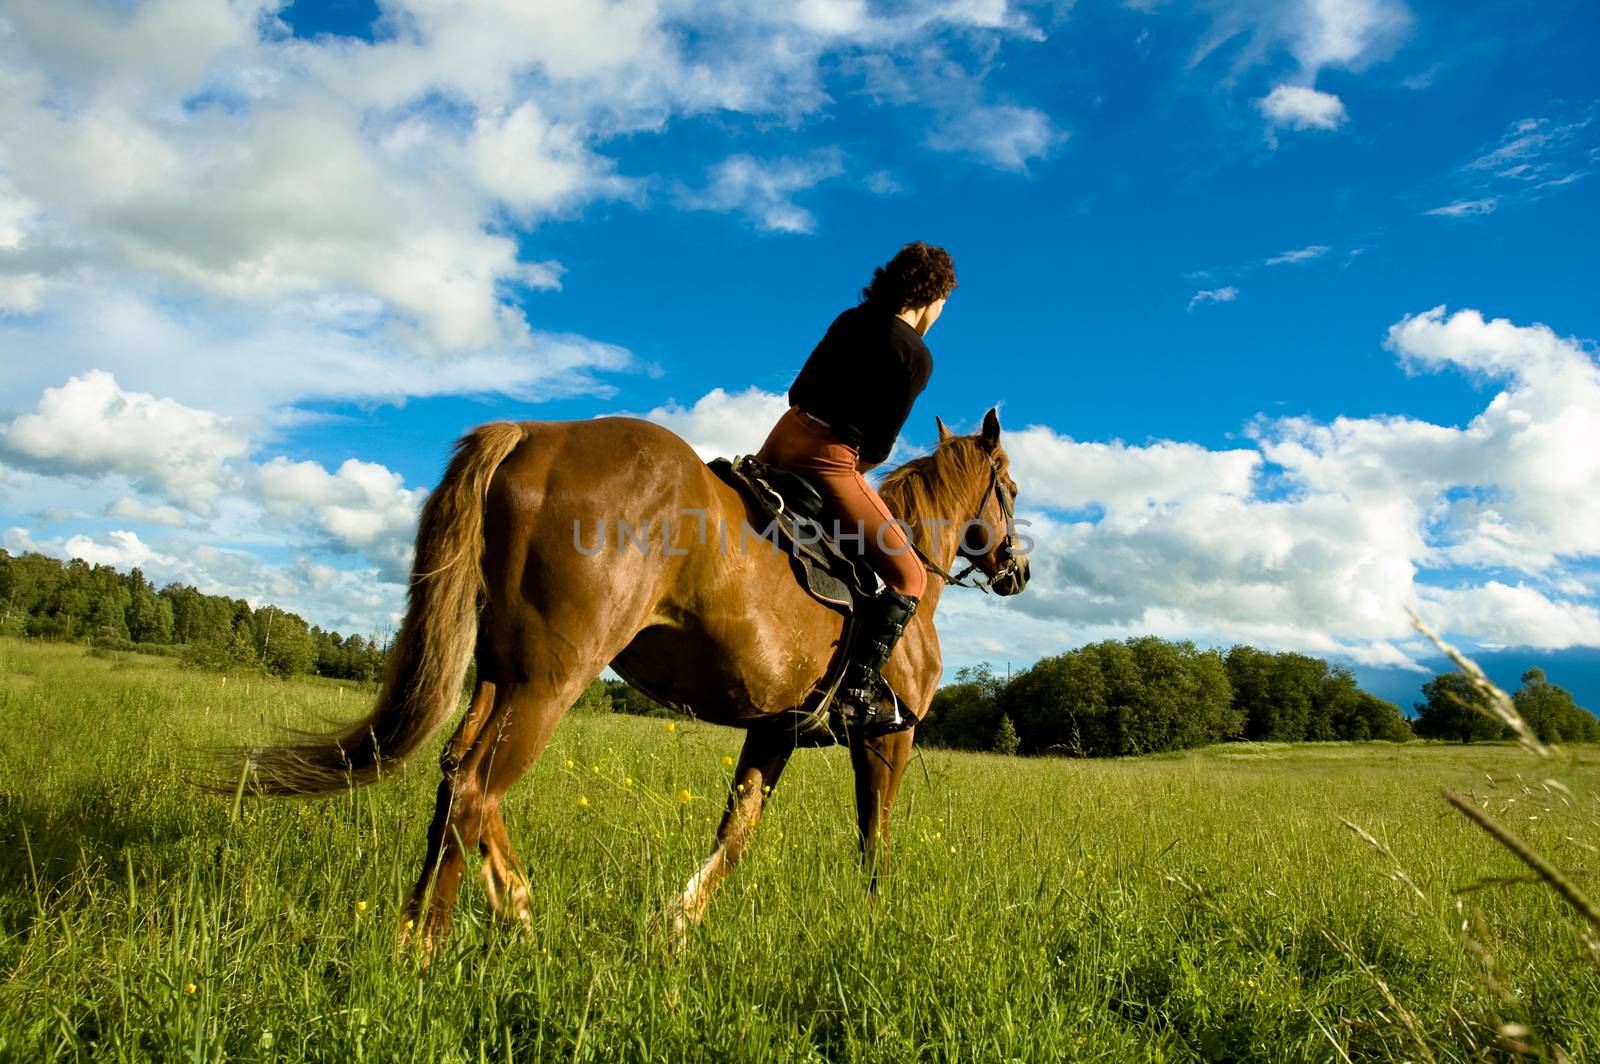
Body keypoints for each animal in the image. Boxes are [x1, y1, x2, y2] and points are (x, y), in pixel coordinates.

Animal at [232, 406, 1030, 947]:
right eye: (1013, 491)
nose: (1018, 570)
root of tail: (534, 433)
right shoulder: (887, 738)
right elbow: (873, 837)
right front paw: (871, 920)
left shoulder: (775, 729)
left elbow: (736, 832)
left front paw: (676, 923)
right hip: (550, 682)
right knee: (474, 791)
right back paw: (438, 945)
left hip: (499, 675)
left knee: (456, 774)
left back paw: (472, 916)